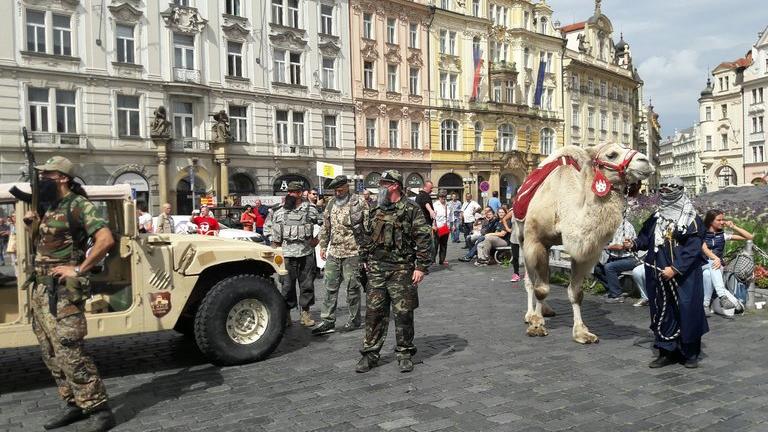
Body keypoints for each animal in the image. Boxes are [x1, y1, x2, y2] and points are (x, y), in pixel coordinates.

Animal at [516, 142, 656, 344]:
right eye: (611, 154)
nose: (645, 161)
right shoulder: (536, 240)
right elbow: (540, 288)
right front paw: (536, 326)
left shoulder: (583, 251)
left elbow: (576, 292)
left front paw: (582, 332)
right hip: (522, 237)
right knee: (531, 280)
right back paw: (531, 315)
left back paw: (546, 310)